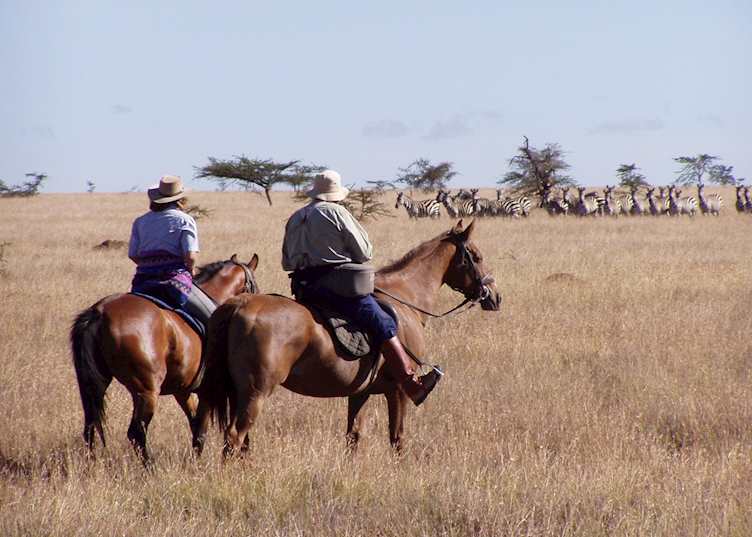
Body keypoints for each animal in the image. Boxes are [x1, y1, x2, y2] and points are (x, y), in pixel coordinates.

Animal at [70, 254, 259, 464]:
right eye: (253, 287)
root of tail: (99, 312)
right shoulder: (208, 391)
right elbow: (203, 430)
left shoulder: (183, 391)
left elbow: (195, 426)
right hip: (146, 391)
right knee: (136, 433)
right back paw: (151, 467)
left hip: (97, 385)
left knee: (90, 427)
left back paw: (91, 464)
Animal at [193, 220, 500, 457]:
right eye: (476, 256)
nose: (494, 296)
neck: (404, 297)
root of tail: (239, 304)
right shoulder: (398, 392)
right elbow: (397, 437)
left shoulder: (359, 392)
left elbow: (354, 436)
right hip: (255, 392)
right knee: (234, 435)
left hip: (229, 391)